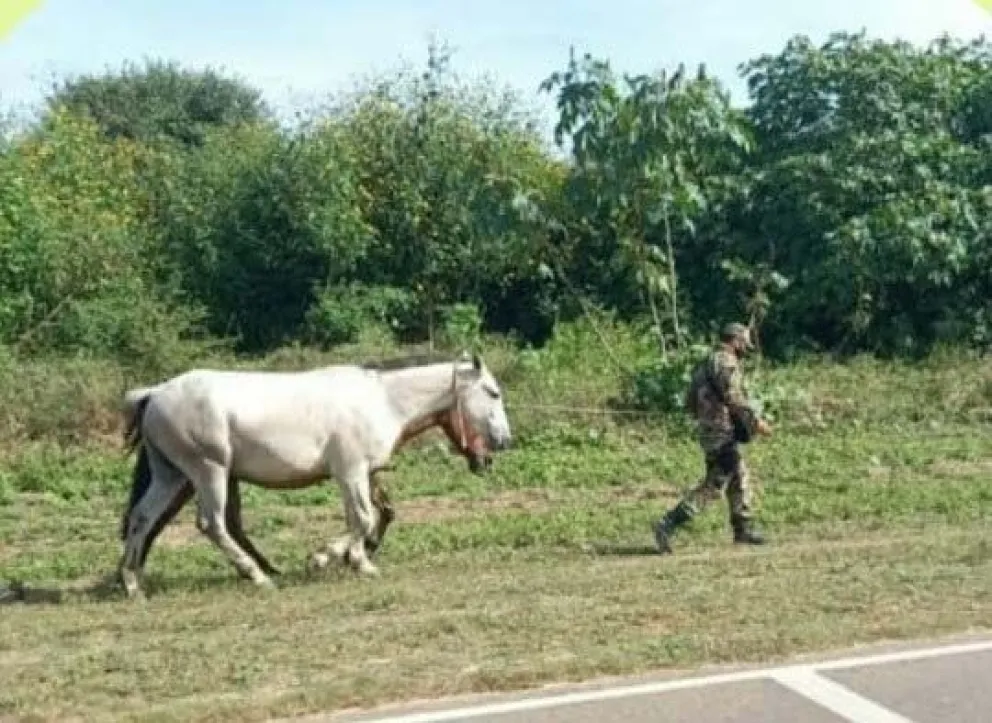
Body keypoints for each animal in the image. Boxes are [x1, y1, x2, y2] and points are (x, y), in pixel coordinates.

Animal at [117, 352, 511, 599]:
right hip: (208, 472)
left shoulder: (363, 473)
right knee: (211, 524)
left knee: (142, 517)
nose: (505, 440)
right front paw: (339, 560)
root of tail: (154, 393)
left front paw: (350, 558)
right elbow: (363, 519)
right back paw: (257, 575)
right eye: (493, 392)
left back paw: (132, 583)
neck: (382, 400)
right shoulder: (350, 472)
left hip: (171, 476)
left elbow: (371, 517)